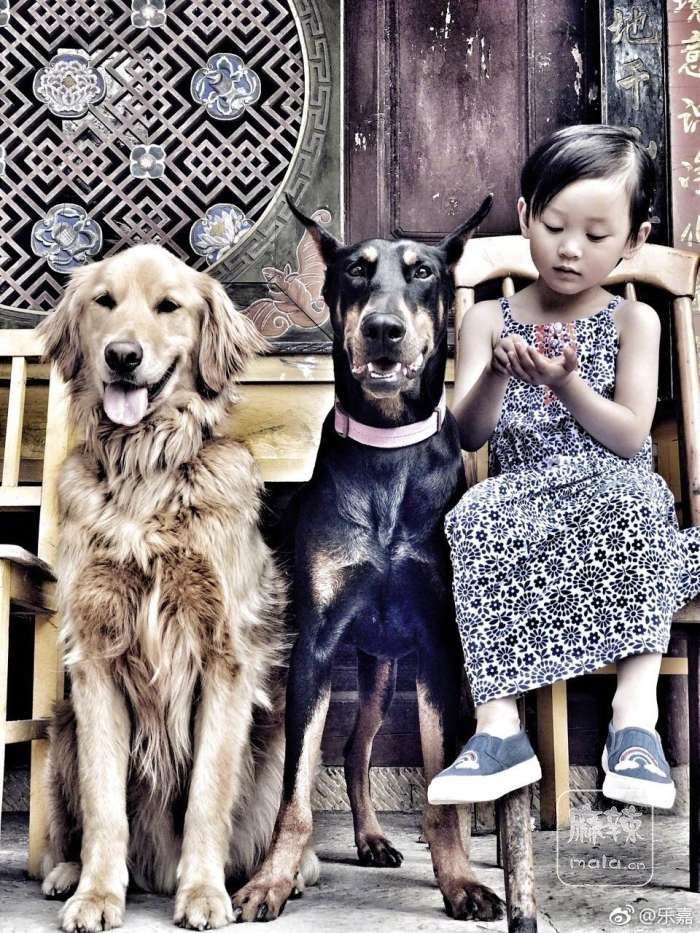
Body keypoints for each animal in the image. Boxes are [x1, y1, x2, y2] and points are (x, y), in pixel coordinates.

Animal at [36, 244, 318, 932]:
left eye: (169, 306)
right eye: (104, 302)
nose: (122, 355)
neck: (146, 469)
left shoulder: (225, 661)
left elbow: (207, 799)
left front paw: (204, 894)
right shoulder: (96, 660)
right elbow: (104, 807)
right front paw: (97, 896)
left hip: (278, 748)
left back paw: (289, 874)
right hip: (62, 728)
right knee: (69, 827)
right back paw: (65, 873)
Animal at [231, 195, 505, 923]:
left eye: (422, 271)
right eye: (355, 270)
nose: (384, 330)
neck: (387, 450)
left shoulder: (438, 648)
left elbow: (439, 791)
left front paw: (460, 882)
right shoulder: (317, 644)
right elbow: (295, 791)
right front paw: (272, 880)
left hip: (388, 665)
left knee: (365, 747)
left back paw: (382, 837)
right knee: (346, 746)